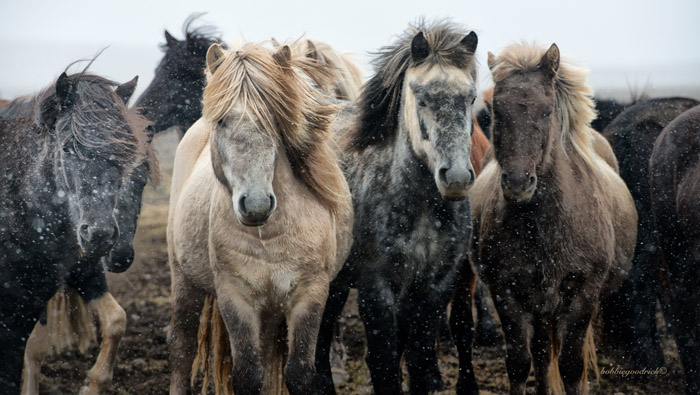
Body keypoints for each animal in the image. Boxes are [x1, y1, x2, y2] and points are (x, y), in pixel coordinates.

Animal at [166, 41, 352, 395]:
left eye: (274, 120)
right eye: (222, 122)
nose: (255, 205)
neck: (269, 236)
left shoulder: (311, 294)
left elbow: (298, 373)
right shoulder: (235, 297)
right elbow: (248, 376)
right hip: (184, 281)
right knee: (182, 348)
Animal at [462, 43, 636, 395]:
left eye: (546, 111)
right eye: (496, 110)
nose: (518, 183)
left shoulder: (582, 294)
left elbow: (571, 367)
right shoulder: (507, 292)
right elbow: (520, 363)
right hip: (541, 308)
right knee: (542, 355)